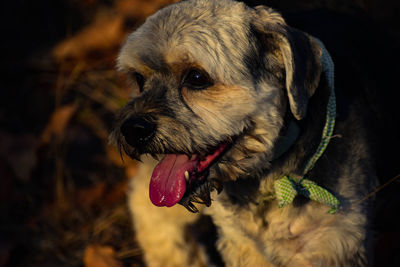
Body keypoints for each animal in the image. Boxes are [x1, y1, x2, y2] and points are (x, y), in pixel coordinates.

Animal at [108, 1, 394, 266]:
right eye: (139, 79)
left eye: (197, 77)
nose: (132, 130)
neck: (271, 179)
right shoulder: (242, 242)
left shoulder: (333, 243)